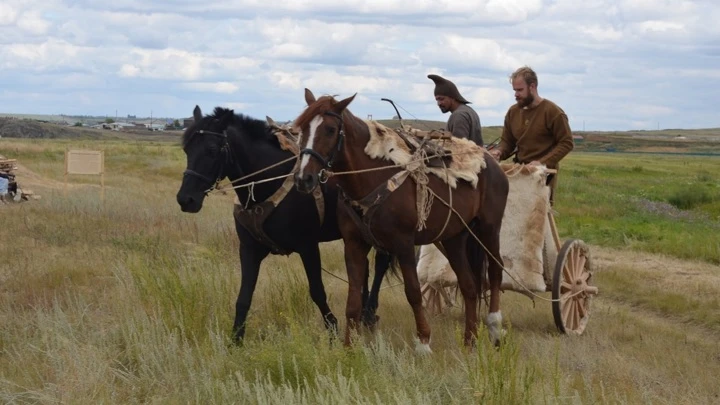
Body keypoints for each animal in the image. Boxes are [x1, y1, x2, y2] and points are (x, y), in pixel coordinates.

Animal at [178, 105, 396, 340]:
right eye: (186, 149)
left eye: (211, 149)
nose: (185, 199)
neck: (269, 182)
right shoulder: (249, 249)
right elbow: (244, 297)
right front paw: (236, 340)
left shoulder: (308, 247)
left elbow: (317, 291)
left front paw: (333, 331)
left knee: (381, 263)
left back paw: (369, 312)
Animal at [290, 89, 510, 350]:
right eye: (302, 129)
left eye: (331, 129)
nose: (303, 178)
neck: (373, 177)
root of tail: (491, 163)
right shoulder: (354, 245)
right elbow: (353, 300)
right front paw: (349, 348)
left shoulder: (404, 244)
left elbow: (413, 293)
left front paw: (423, 343)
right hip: (455, 237)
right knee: (469, 286)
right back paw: (470, 341)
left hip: (489, 229)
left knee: (495, 271)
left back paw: (495, 327)